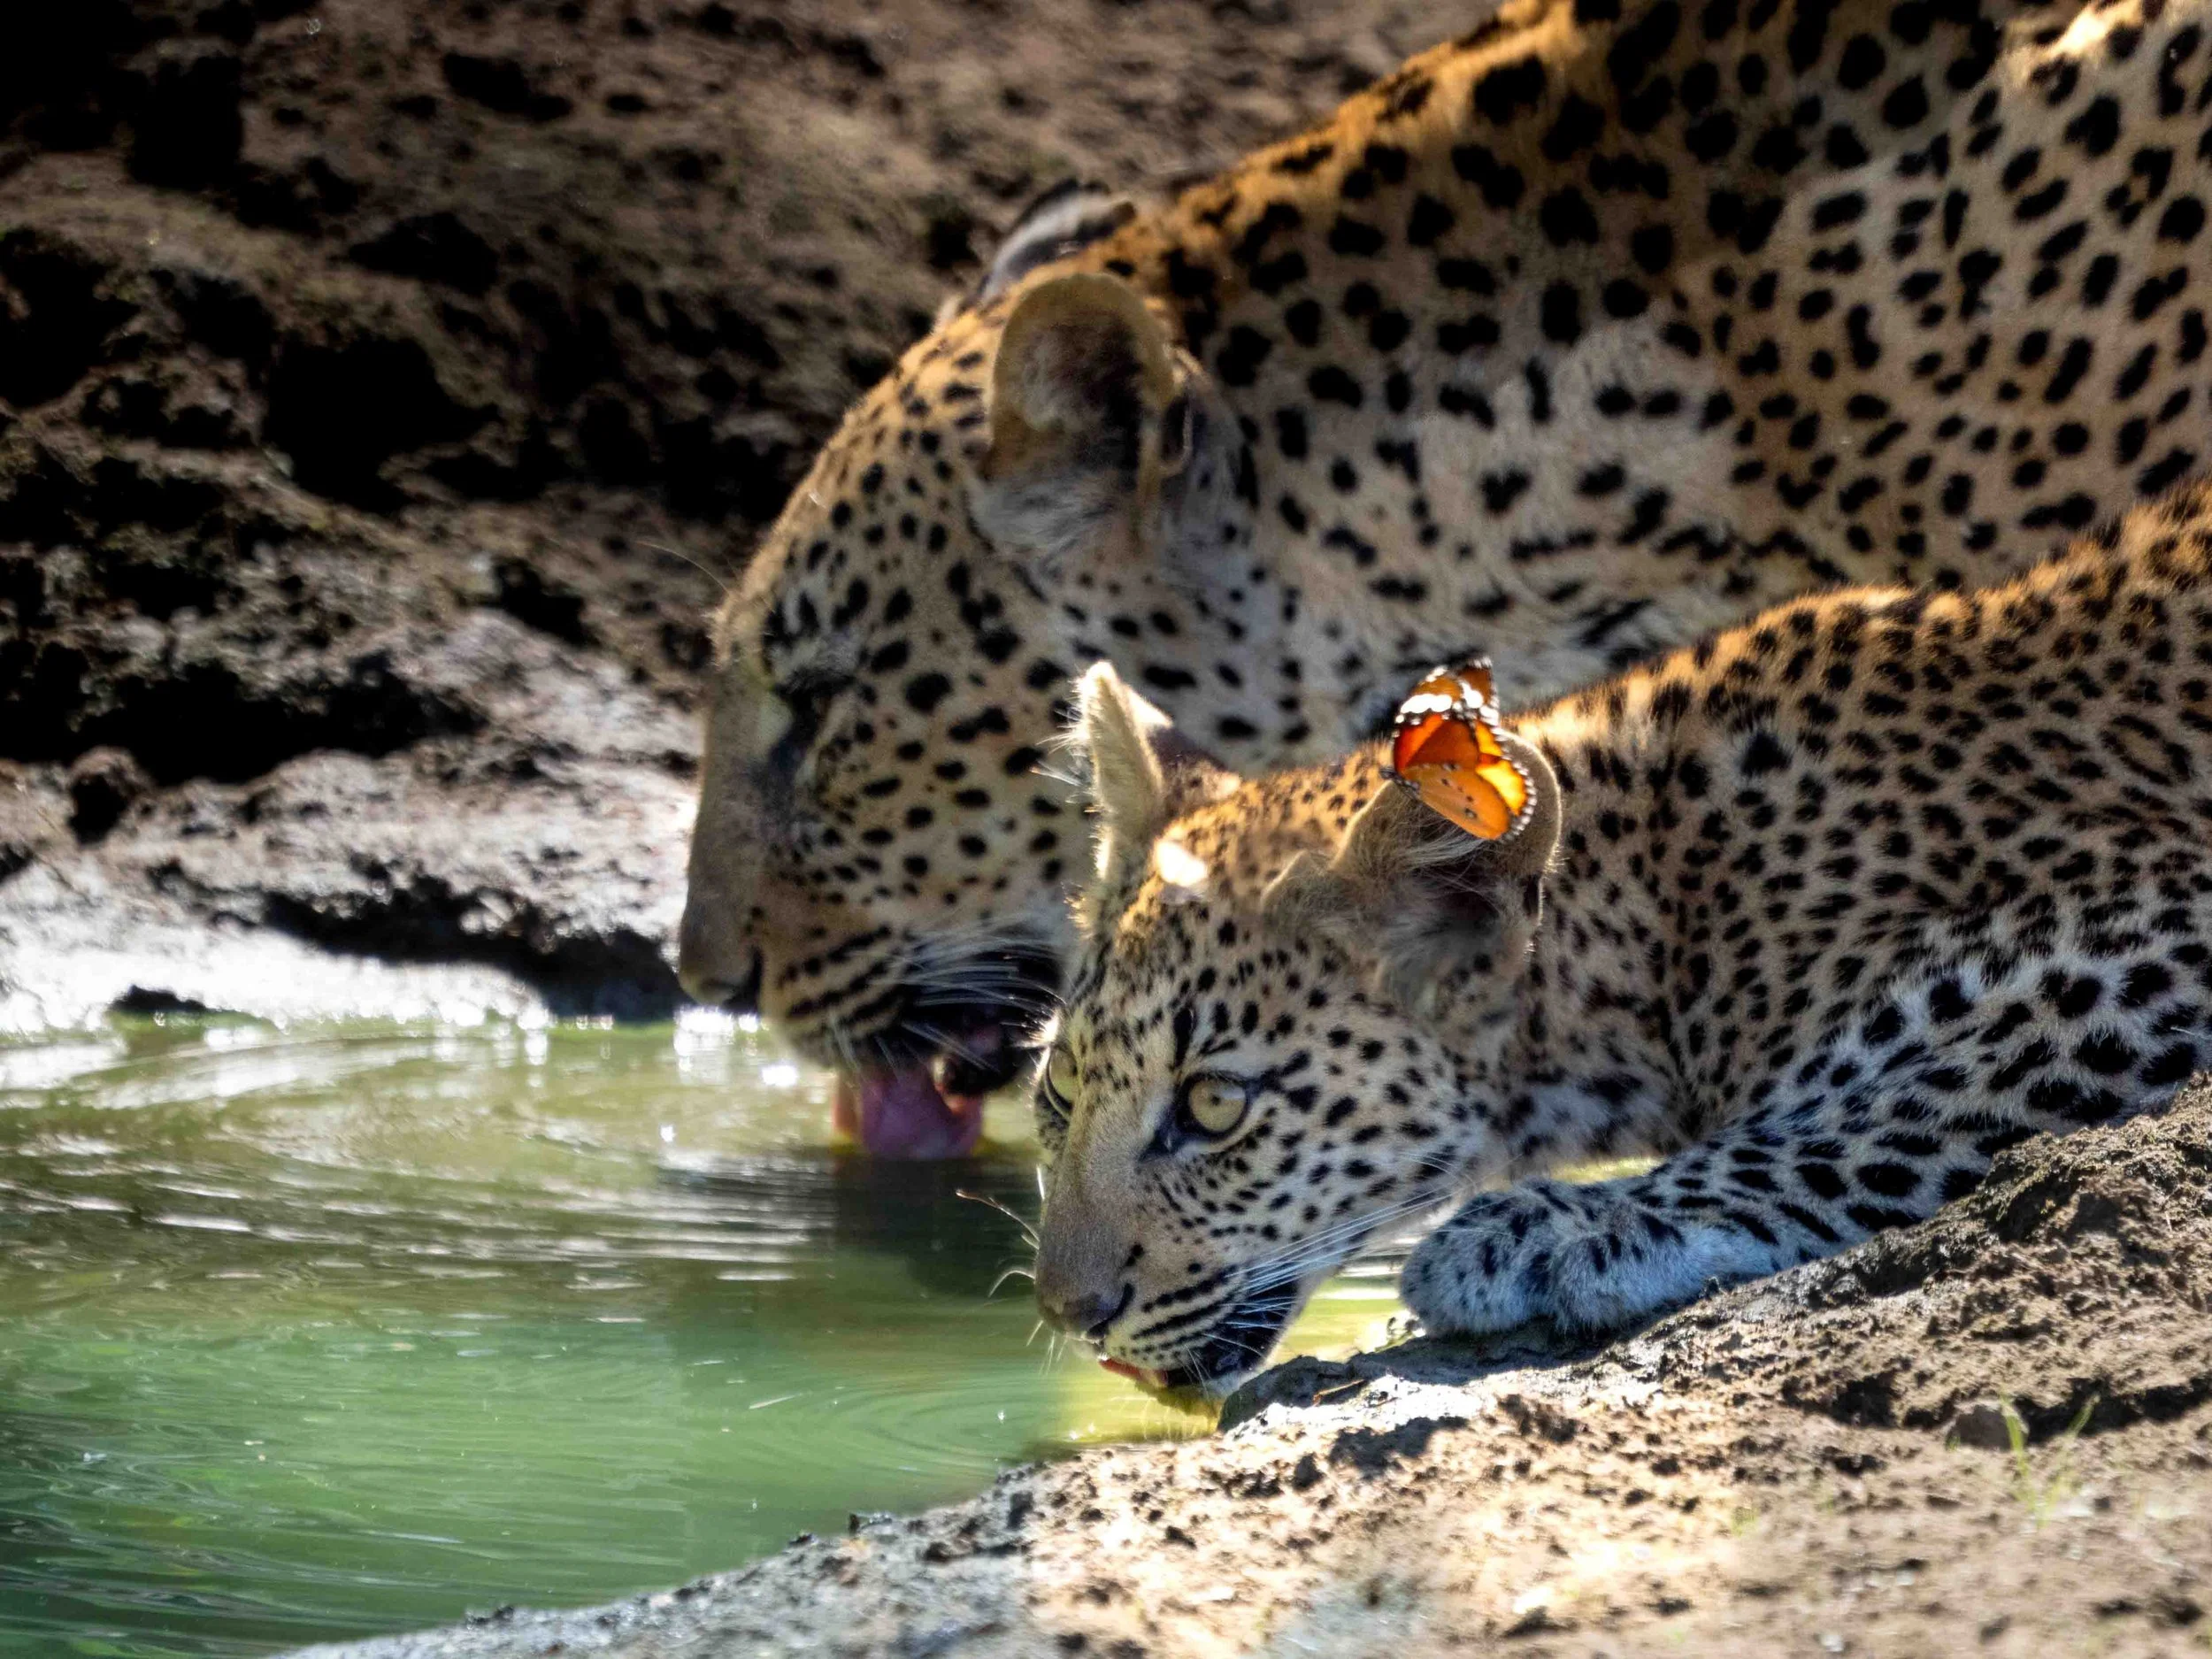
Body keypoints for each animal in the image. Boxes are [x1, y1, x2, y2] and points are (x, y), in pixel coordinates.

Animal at [1032, 481, 2212, 1395]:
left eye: (1213, 1106)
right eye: (1060, 1090)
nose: (1066, 1314)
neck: (1667, 907)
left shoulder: (2156, 926)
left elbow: (1888, 1102)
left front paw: (1545, 1229)